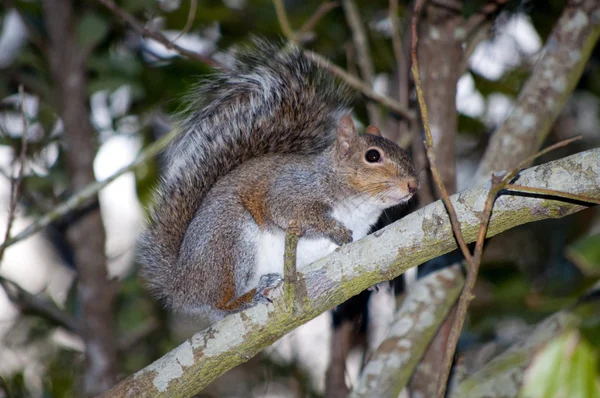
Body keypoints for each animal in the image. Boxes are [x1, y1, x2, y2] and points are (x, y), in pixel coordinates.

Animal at [138, 41, 420, 320]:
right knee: (220, 303)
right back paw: (248, 297)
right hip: (227, 239)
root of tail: (181, 283)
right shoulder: (291, 189)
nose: (413, 185)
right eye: (372, 156)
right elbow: (290, 211)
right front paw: (333, 228)